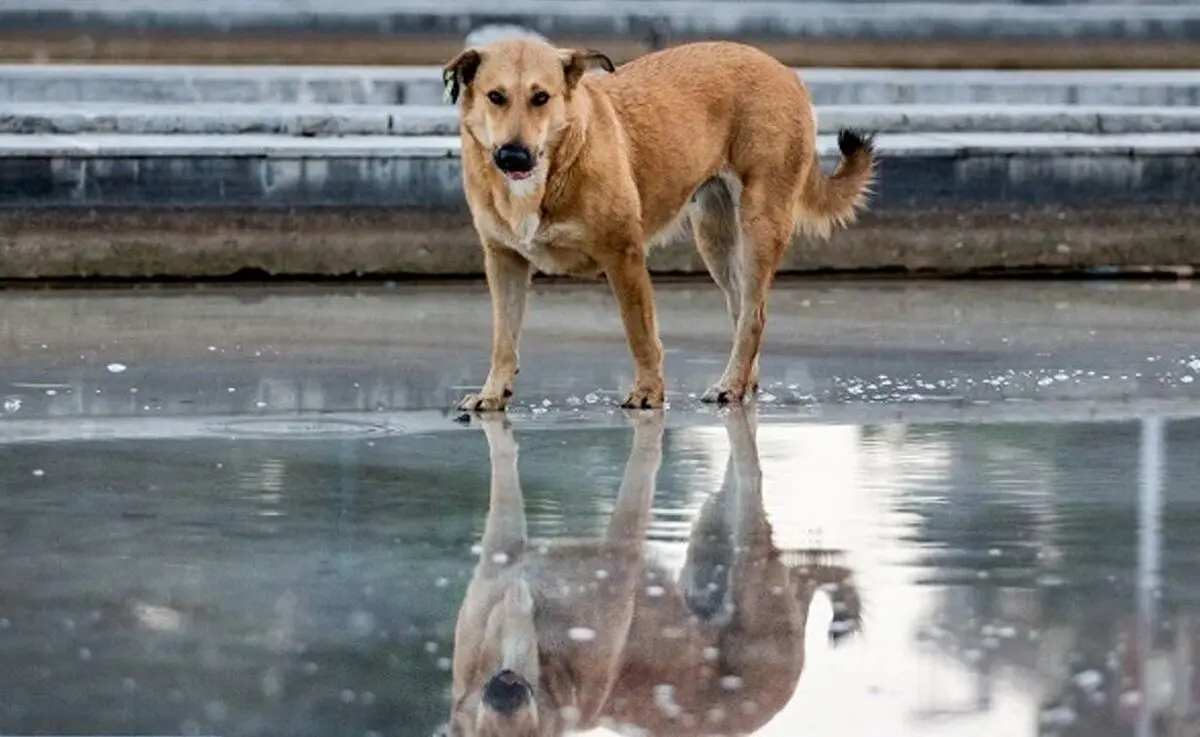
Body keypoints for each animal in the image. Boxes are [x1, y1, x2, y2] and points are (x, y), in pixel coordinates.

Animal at [446, 39, 878, 415]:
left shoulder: (624, 255)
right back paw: (742, 384)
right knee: (741, 311)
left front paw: (648, 392)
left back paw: (731, 384)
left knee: (754, 316)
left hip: (760, 223)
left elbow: (640, 333)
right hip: (715, 237)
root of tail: (783, 69)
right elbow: (504, 338)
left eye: (541, 97)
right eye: (495, 97)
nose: (513, 156)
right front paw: (493, 393)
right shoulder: (504, 260)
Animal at [451, 408, 864, 734]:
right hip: (716, 527)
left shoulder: (621, 554)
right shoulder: (501, 552)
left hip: (750, 551)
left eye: (535, 734)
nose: (506, 693)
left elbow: (643, 465)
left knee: (756, 480)